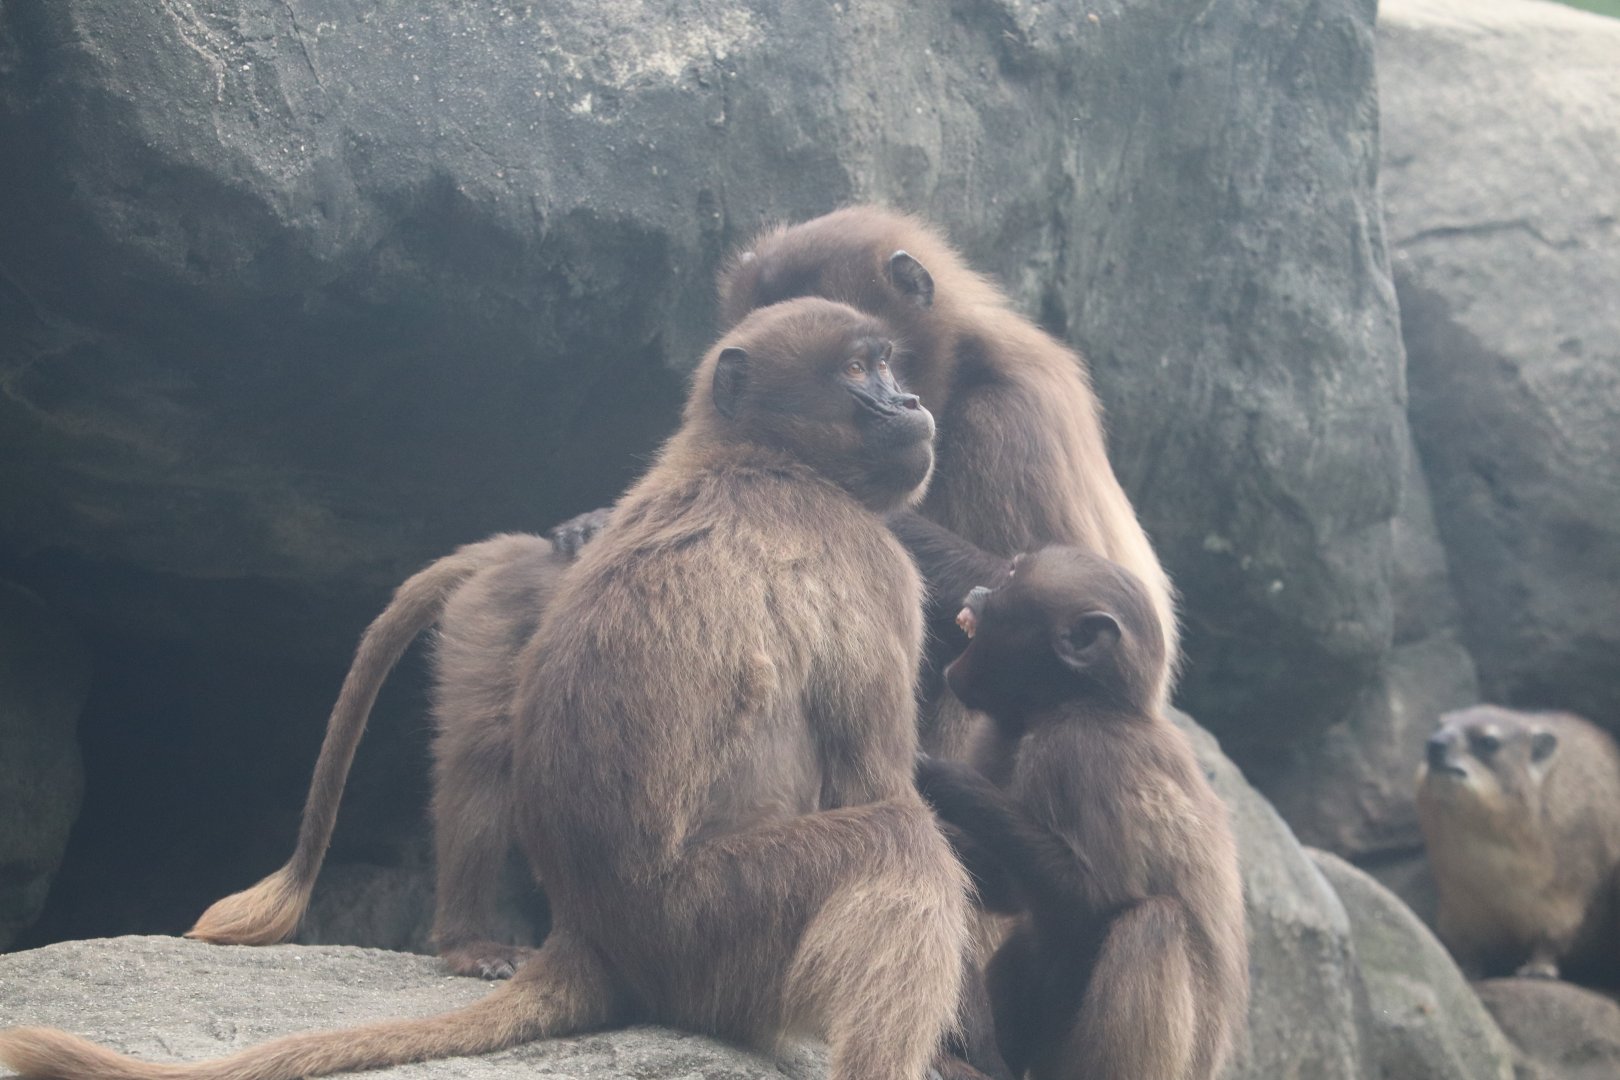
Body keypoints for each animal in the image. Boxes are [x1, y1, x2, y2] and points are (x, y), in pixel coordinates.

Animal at [913, 546, 1247, 1080]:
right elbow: (1008, 888)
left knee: (1152, 923)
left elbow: (1095, 897)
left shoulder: (1079, 748)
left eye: (1011, 577)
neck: (1075, 702)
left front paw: (942, 780)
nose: (979, 590)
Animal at [1417, 704, 1620, 985]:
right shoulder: (1458, 906)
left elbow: (1552, 938)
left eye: (1489, 742)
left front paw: (1538, 969)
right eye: (1437, 726)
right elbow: (1469, 946)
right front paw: (1465, 970)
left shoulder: (1567, 898)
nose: (1434, 744)